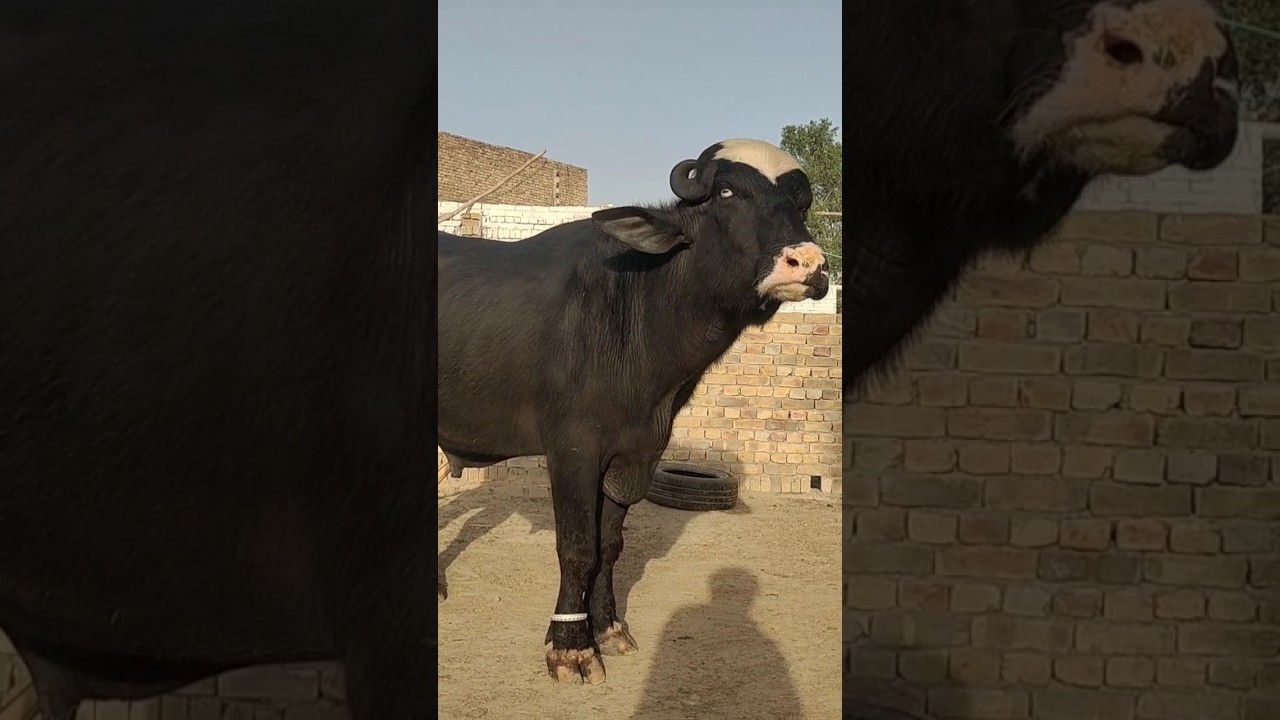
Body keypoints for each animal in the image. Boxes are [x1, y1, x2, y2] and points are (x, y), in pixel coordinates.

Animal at [437, 138, 829, 684]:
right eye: (727, 192)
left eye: (801, 204)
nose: (808, 263)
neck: (635, 310)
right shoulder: (573, 451)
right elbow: (577, 547)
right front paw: (571, 647)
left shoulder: (636, 453)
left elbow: (610, 546)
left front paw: (608, 627)